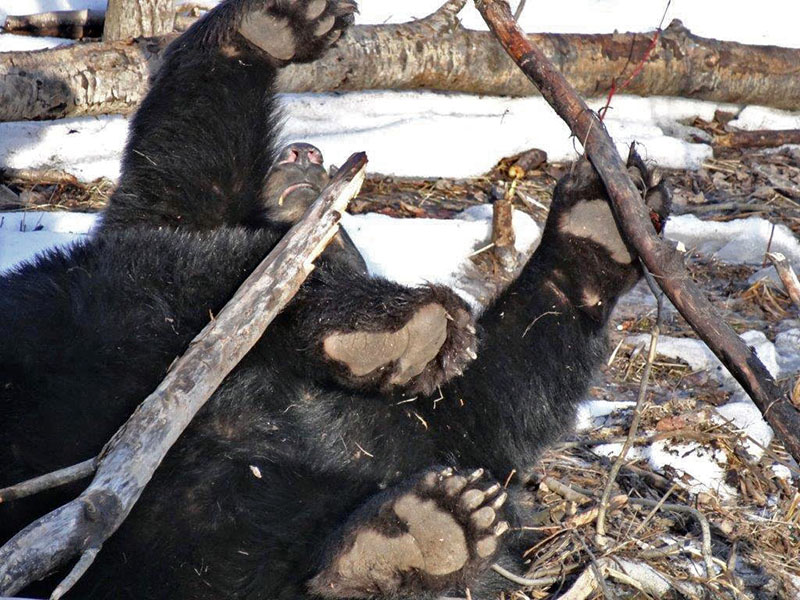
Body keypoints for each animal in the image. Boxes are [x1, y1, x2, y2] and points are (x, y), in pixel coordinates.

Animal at [0, 0, 670, 598]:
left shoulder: (411, 430)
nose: (309, 155)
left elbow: (495, 400)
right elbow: (180, 197)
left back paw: (417, 533)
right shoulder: (151, 256)